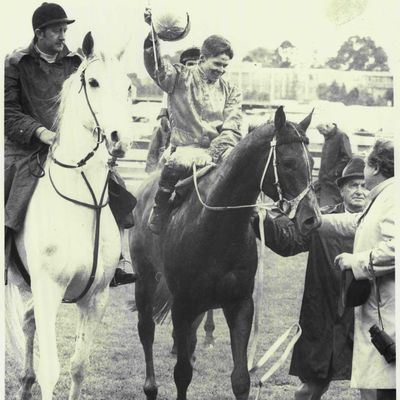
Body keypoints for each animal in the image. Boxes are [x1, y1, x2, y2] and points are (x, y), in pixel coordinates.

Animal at [6, 32, 134, 398]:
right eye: (93, 82)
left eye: (128, 85)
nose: (120, 140)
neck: (80, 205)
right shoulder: (49, 291)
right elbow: (51, 370)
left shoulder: (96, 299)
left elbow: (79, 366)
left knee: (28, 322)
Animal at [131, 106, 322, 400]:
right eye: (289, 162)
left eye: (312, 163)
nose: (312, 219)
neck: (214, 227)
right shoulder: (182, 306)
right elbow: (182, 373)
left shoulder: (240, 304)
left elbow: (240, 379)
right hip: (145, 280)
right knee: (146, 330)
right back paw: (150, 387)